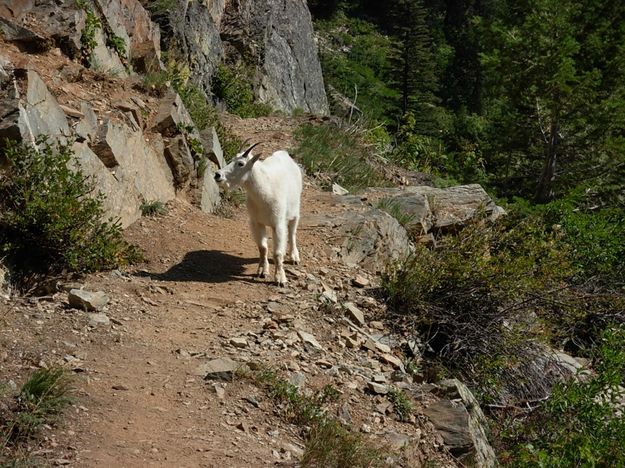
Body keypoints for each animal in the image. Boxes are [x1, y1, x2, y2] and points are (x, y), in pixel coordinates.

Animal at [214, 143, 302, 286]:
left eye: (241, 163)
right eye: (232, 159)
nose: (217, 175)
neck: (264, 192)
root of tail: (286, 155)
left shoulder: (277, 224)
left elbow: (278, 253)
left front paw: (280, 279)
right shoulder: (257, 222)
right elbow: (263, 248)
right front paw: (262, 271)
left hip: (295, 212)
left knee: (292, 233)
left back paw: (294, 257)